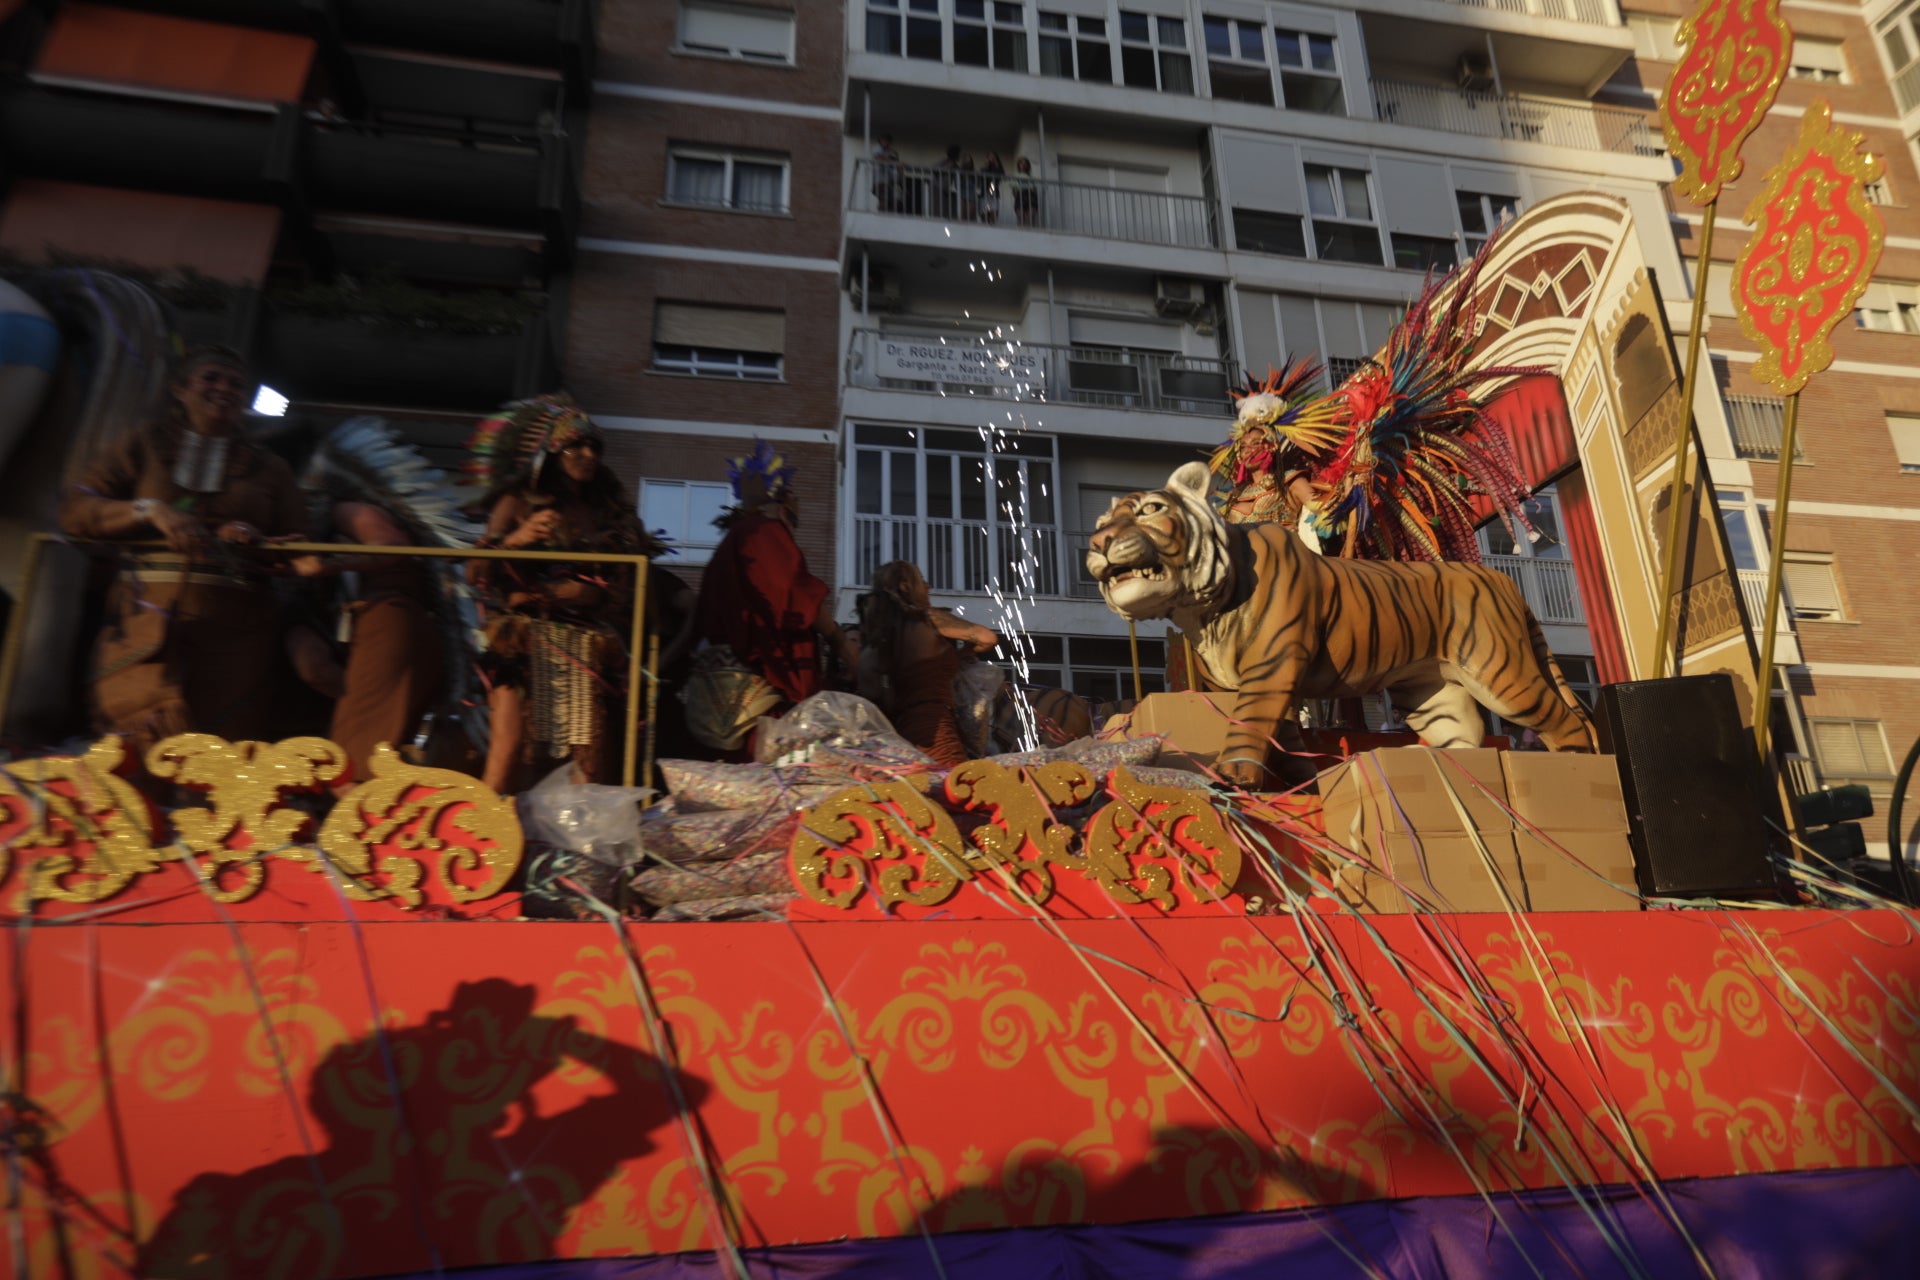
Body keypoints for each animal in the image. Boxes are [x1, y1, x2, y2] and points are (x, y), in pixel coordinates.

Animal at [1090, 462, 1597, 790]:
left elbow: (1251, 719)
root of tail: (1502, 580)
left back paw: (1574, 769)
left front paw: (1235, 774)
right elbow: (1283, 733)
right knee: (1464, 735)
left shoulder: (1271, 664)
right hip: (1431, 689)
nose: (1098, 542)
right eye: (1102, 520)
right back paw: (1419, 760)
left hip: (1499, 671)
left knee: (1567, 721)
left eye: (1150, 510)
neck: (1197, 609)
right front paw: (1300, 780)